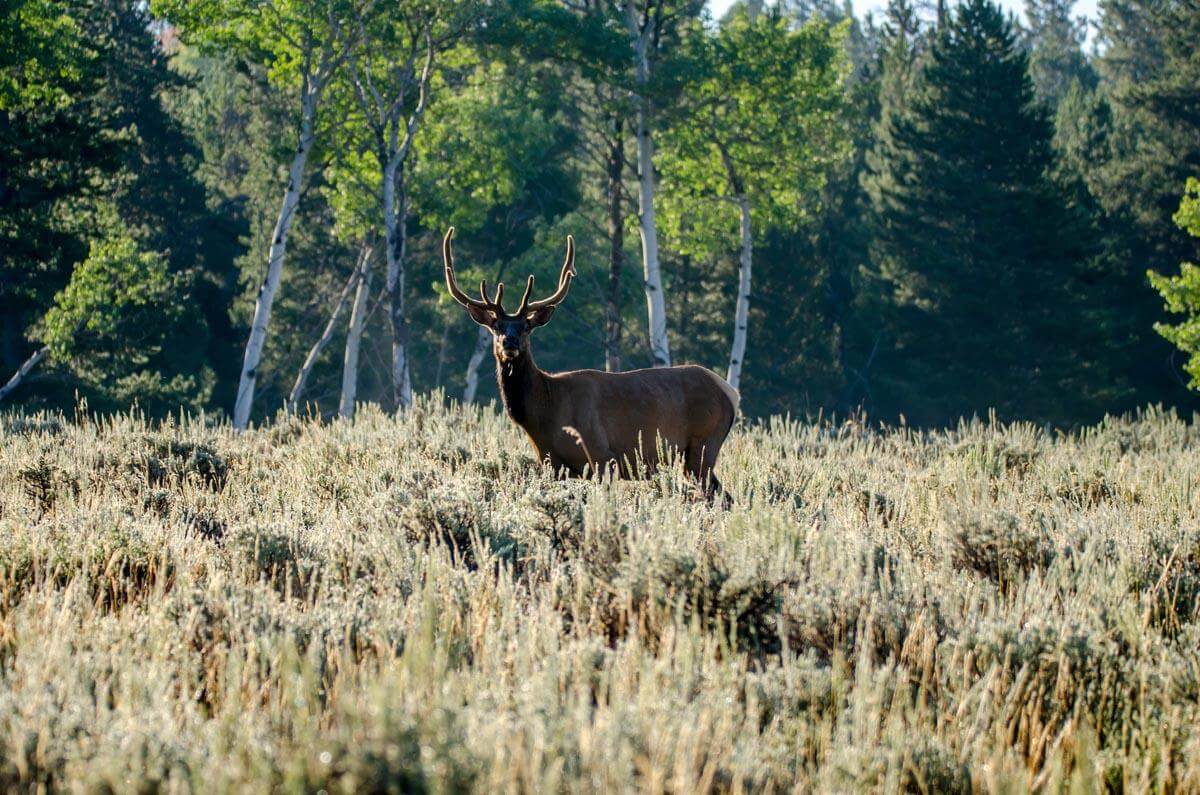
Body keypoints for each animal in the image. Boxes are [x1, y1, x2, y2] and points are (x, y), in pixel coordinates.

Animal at [444, 226, 739, 494]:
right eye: (496, 327)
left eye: (527, 327)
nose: (510, 343)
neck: (546, 412)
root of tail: (730, 392)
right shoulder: (553, 465)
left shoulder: (602, 456)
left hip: (703, 442)